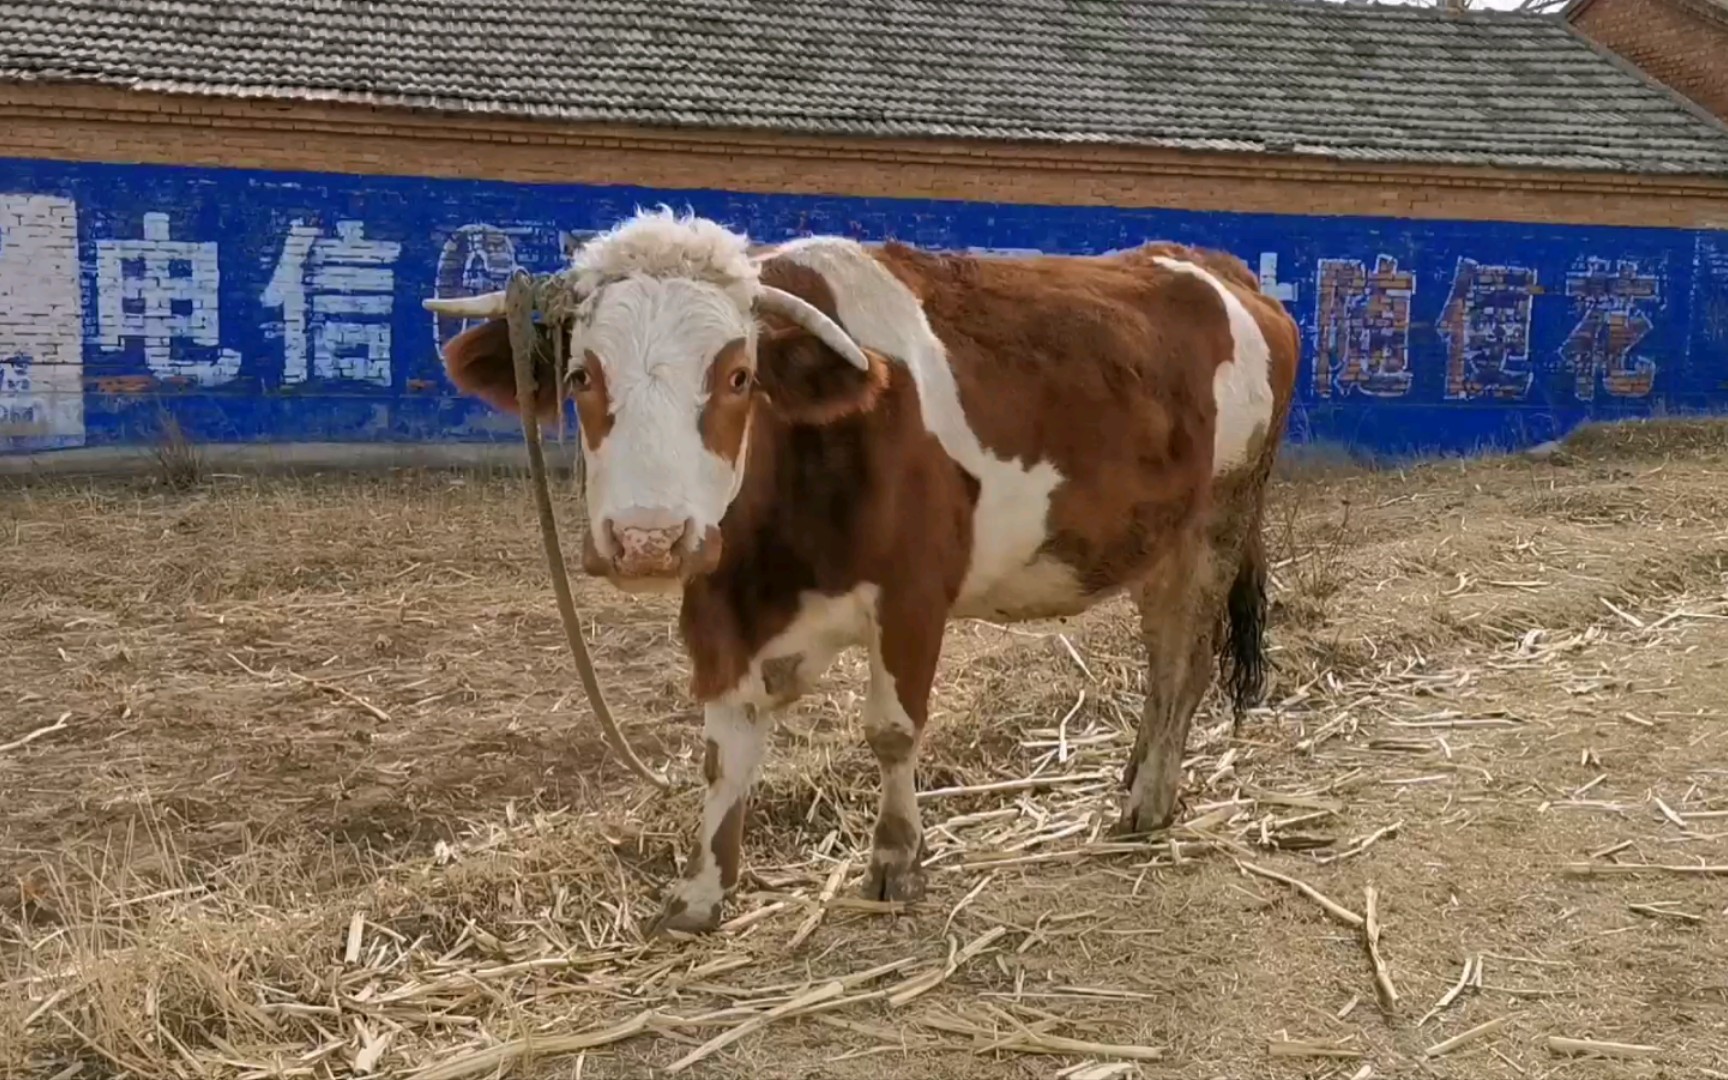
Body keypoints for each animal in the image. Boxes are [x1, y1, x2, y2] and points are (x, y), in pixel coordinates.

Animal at [428, 210, 1299, 933]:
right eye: (582, 377)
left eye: (738, 377)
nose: (649, 539)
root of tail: (1214, 267)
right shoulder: (719, 606)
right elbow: (725, 749)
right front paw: (702, 891)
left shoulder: (913, 597)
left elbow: (891, 730)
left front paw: (895, 861)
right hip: (1160, 541)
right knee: (1160, 659)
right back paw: (1136, 776)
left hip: (1218, 523)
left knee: (1185, 661)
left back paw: (1149, 802)